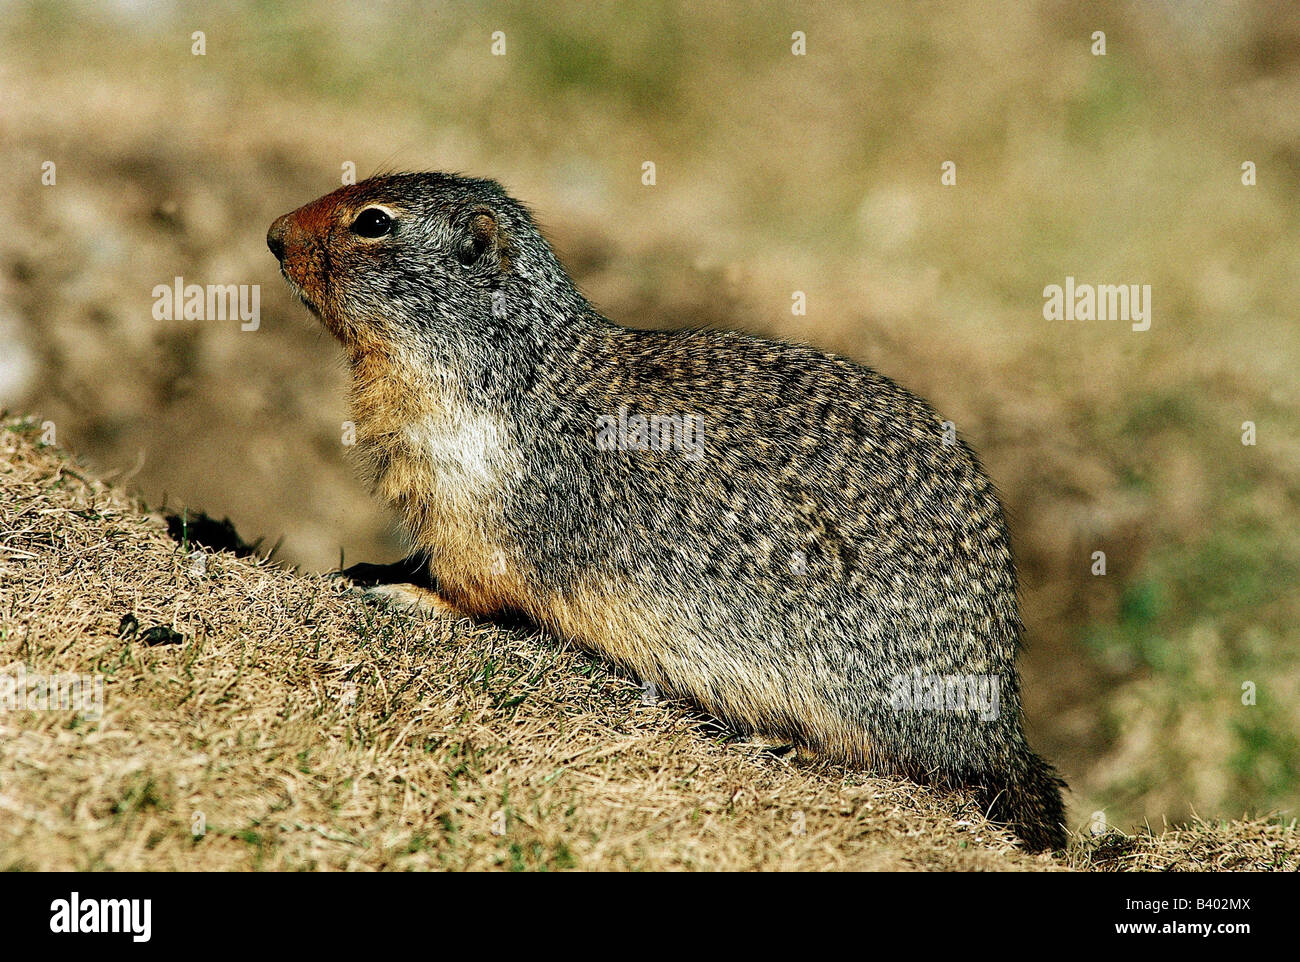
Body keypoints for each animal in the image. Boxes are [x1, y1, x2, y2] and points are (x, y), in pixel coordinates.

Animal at [267, 171, 1068, 851]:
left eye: (374, 222)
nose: (274, 234)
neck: (505, 367)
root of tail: (1001, 719)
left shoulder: (481, 500)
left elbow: (478, 586)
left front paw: (408, 594)